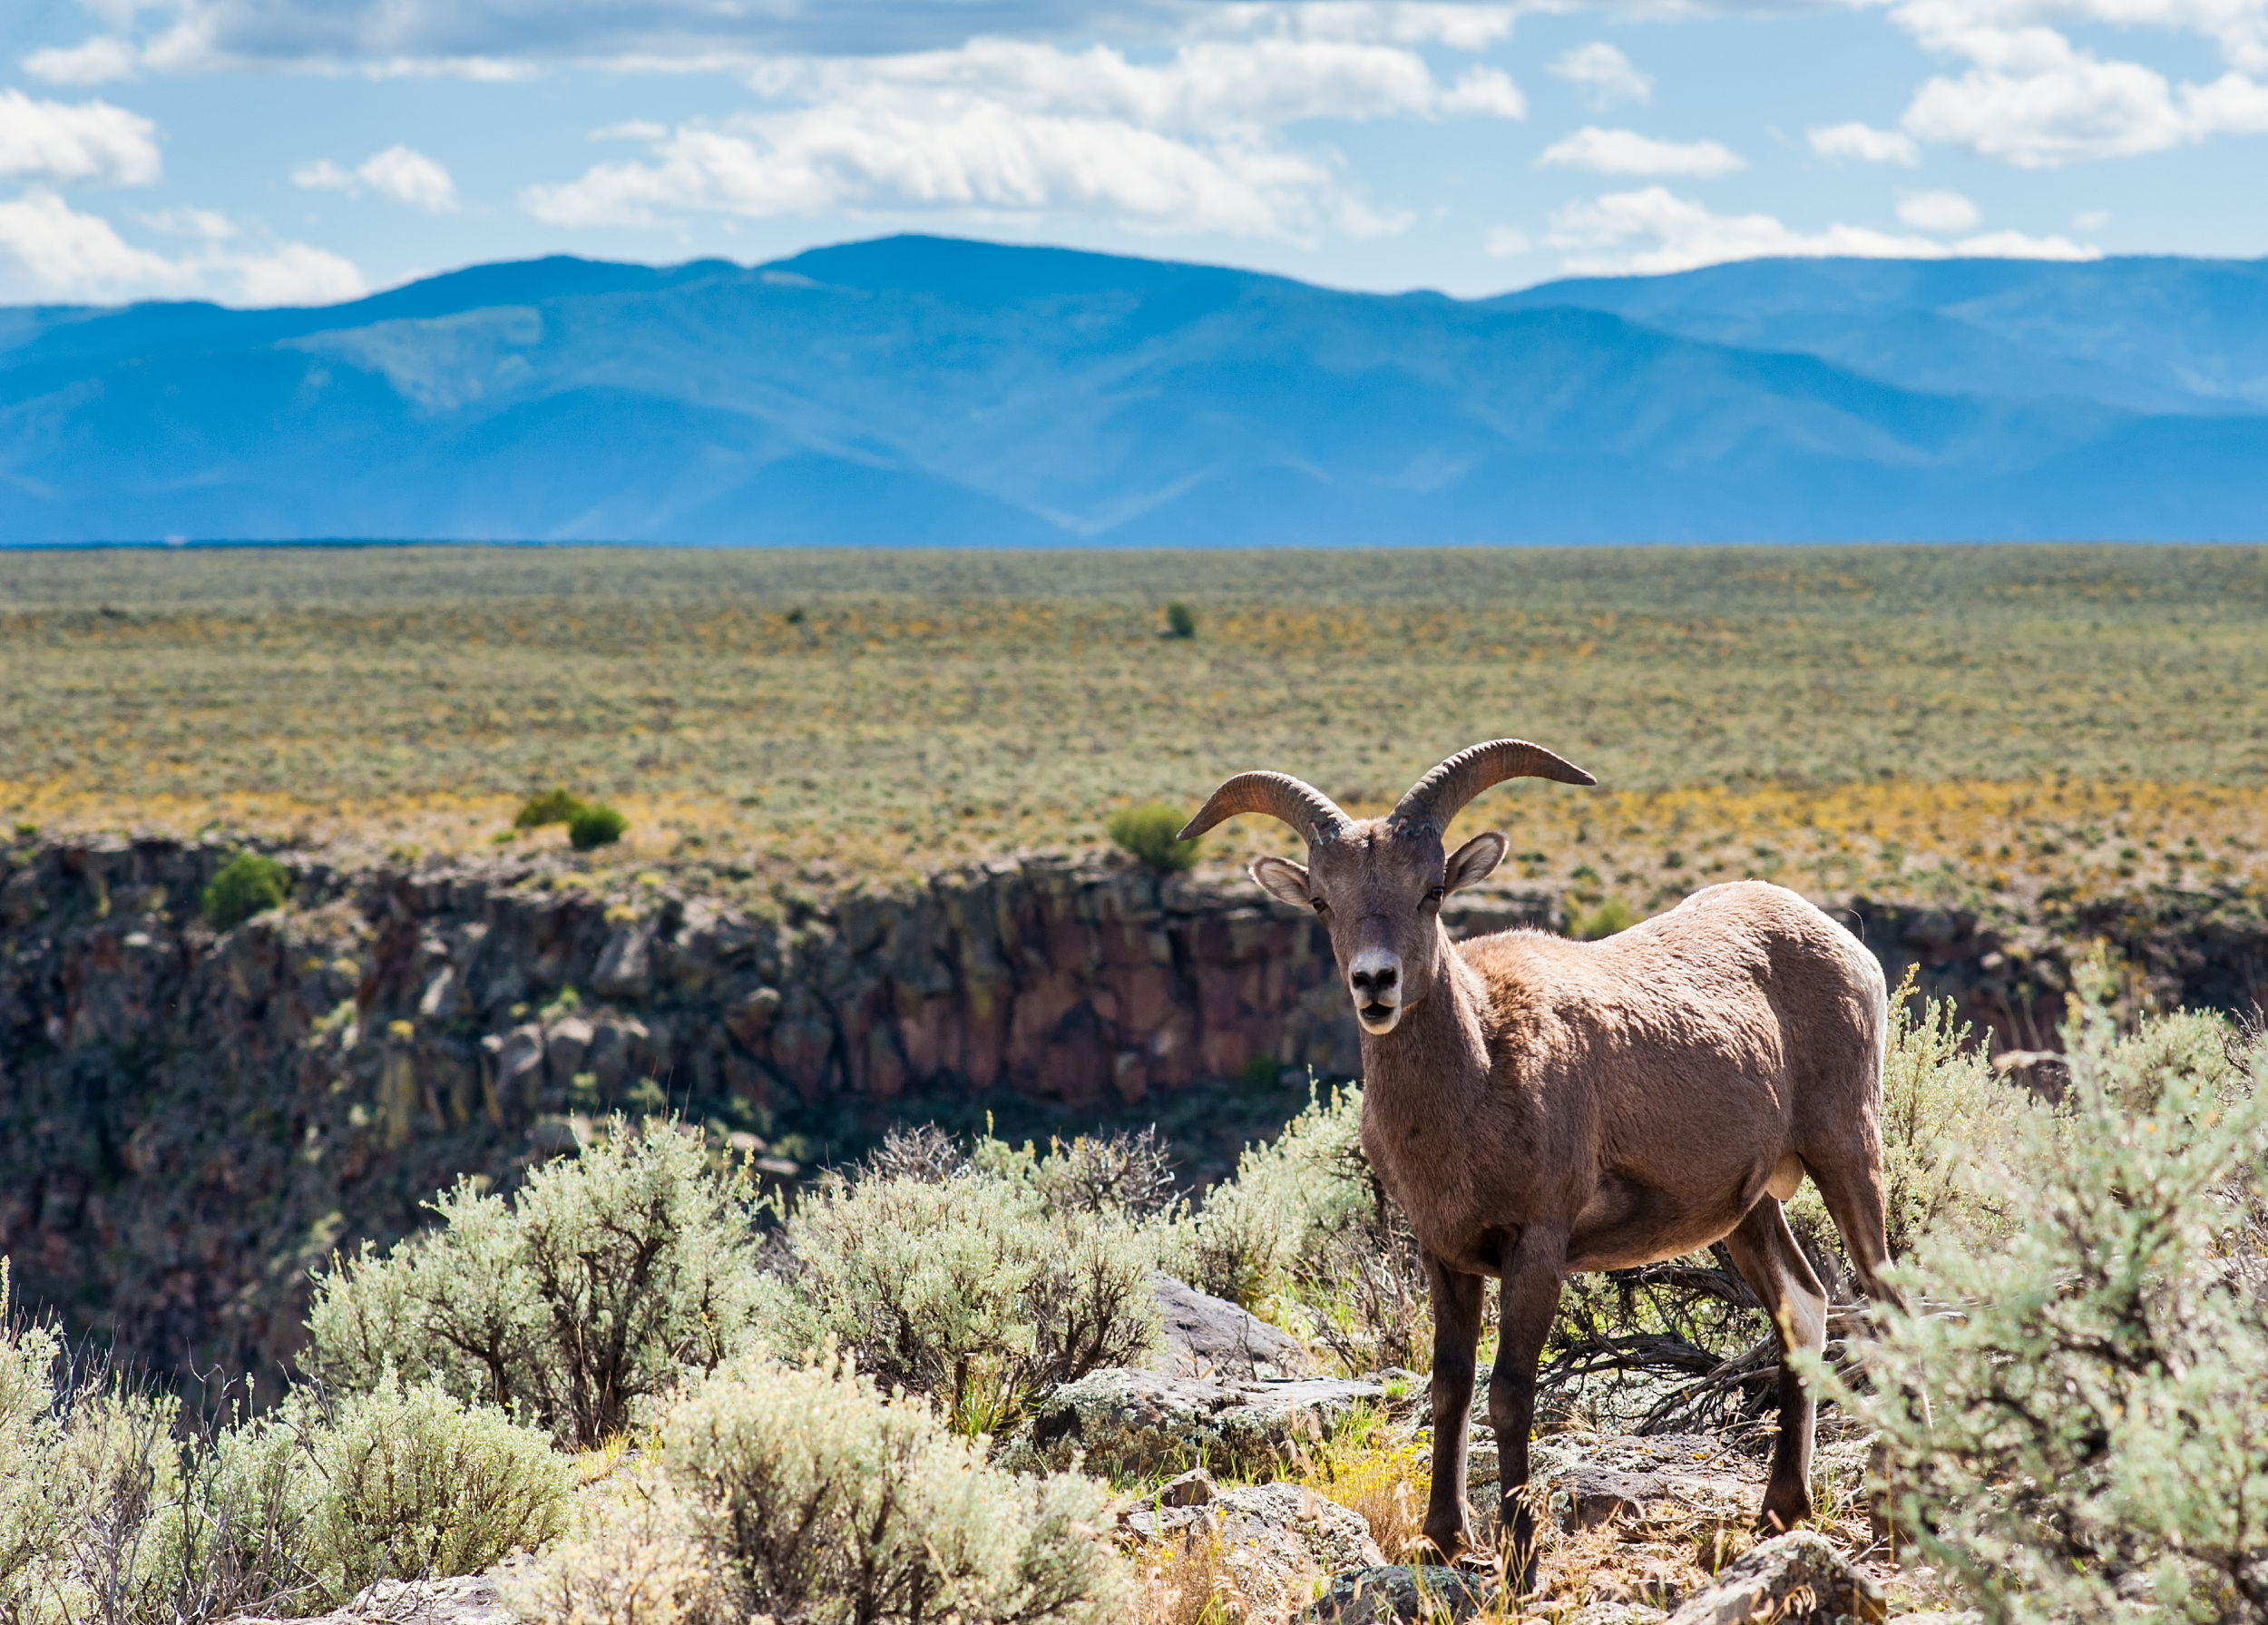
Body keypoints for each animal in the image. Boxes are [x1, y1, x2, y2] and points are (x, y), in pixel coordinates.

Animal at [1179, 744, 1905, 1588]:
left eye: (1431, 891)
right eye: (1324, 902)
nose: (1375, 983)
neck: (1482, 1065)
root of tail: (1847, 947)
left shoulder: (1536, 1249)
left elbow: (1509, 1393)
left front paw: (1521, 1557)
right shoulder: (1445, 1255)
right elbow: (1449, 1387)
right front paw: (1442, 1539)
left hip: (1846, 1148)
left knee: (1887, 1303)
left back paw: (1896, 1512)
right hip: (1747, 1209)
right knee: (1803, 1304)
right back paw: (1782, 1512)